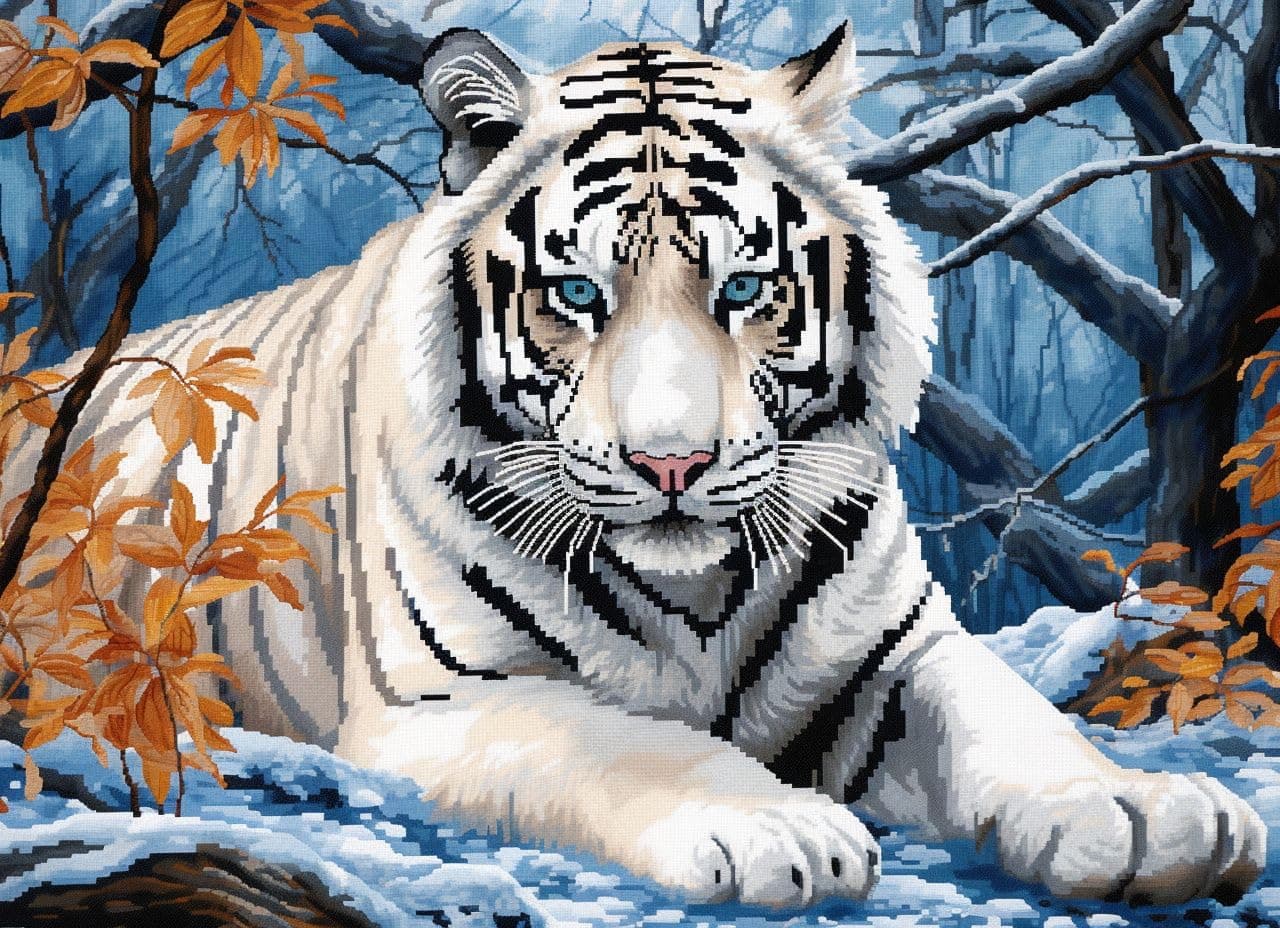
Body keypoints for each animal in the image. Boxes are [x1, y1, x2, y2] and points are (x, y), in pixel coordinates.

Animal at [24, 23, 1265, 909]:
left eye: (744, 287)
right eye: (576, 292)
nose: (672, 463)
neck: (698, 591)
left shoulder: (892, 651)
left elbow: (1010, 715)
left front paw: (1144, 813)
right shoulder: (447, 700)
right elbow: (626, 738)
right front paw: (778, 825)